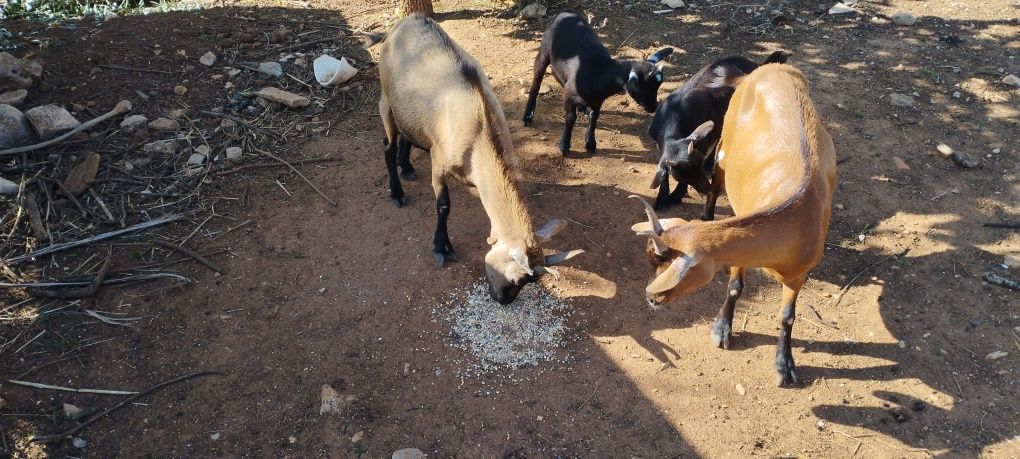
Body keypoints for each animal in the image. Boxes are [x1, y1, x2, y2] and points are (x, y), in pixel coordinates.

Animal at [522, 11, 673, 155]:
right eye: (640, 87)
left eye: (658, 86)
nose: (653, 108)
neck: (600, 72)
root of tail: (565, 13)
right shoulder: (569, 96)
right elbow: (570, 118)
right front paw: (564, 145)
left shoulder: (597, 101)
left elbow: (594, 118)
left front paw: (590, 143)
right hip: (544, 51)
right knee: (536, 82)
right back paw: (528, 115)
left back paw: (581, 108)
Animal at [644, 49, 787, 215]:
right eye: (683, 177)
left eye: (698, 167)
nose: (707, 189)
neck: (673, 113)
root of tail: (757, 65)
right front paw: (661, 199)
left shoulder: (703, 141)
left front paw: (676, 196)